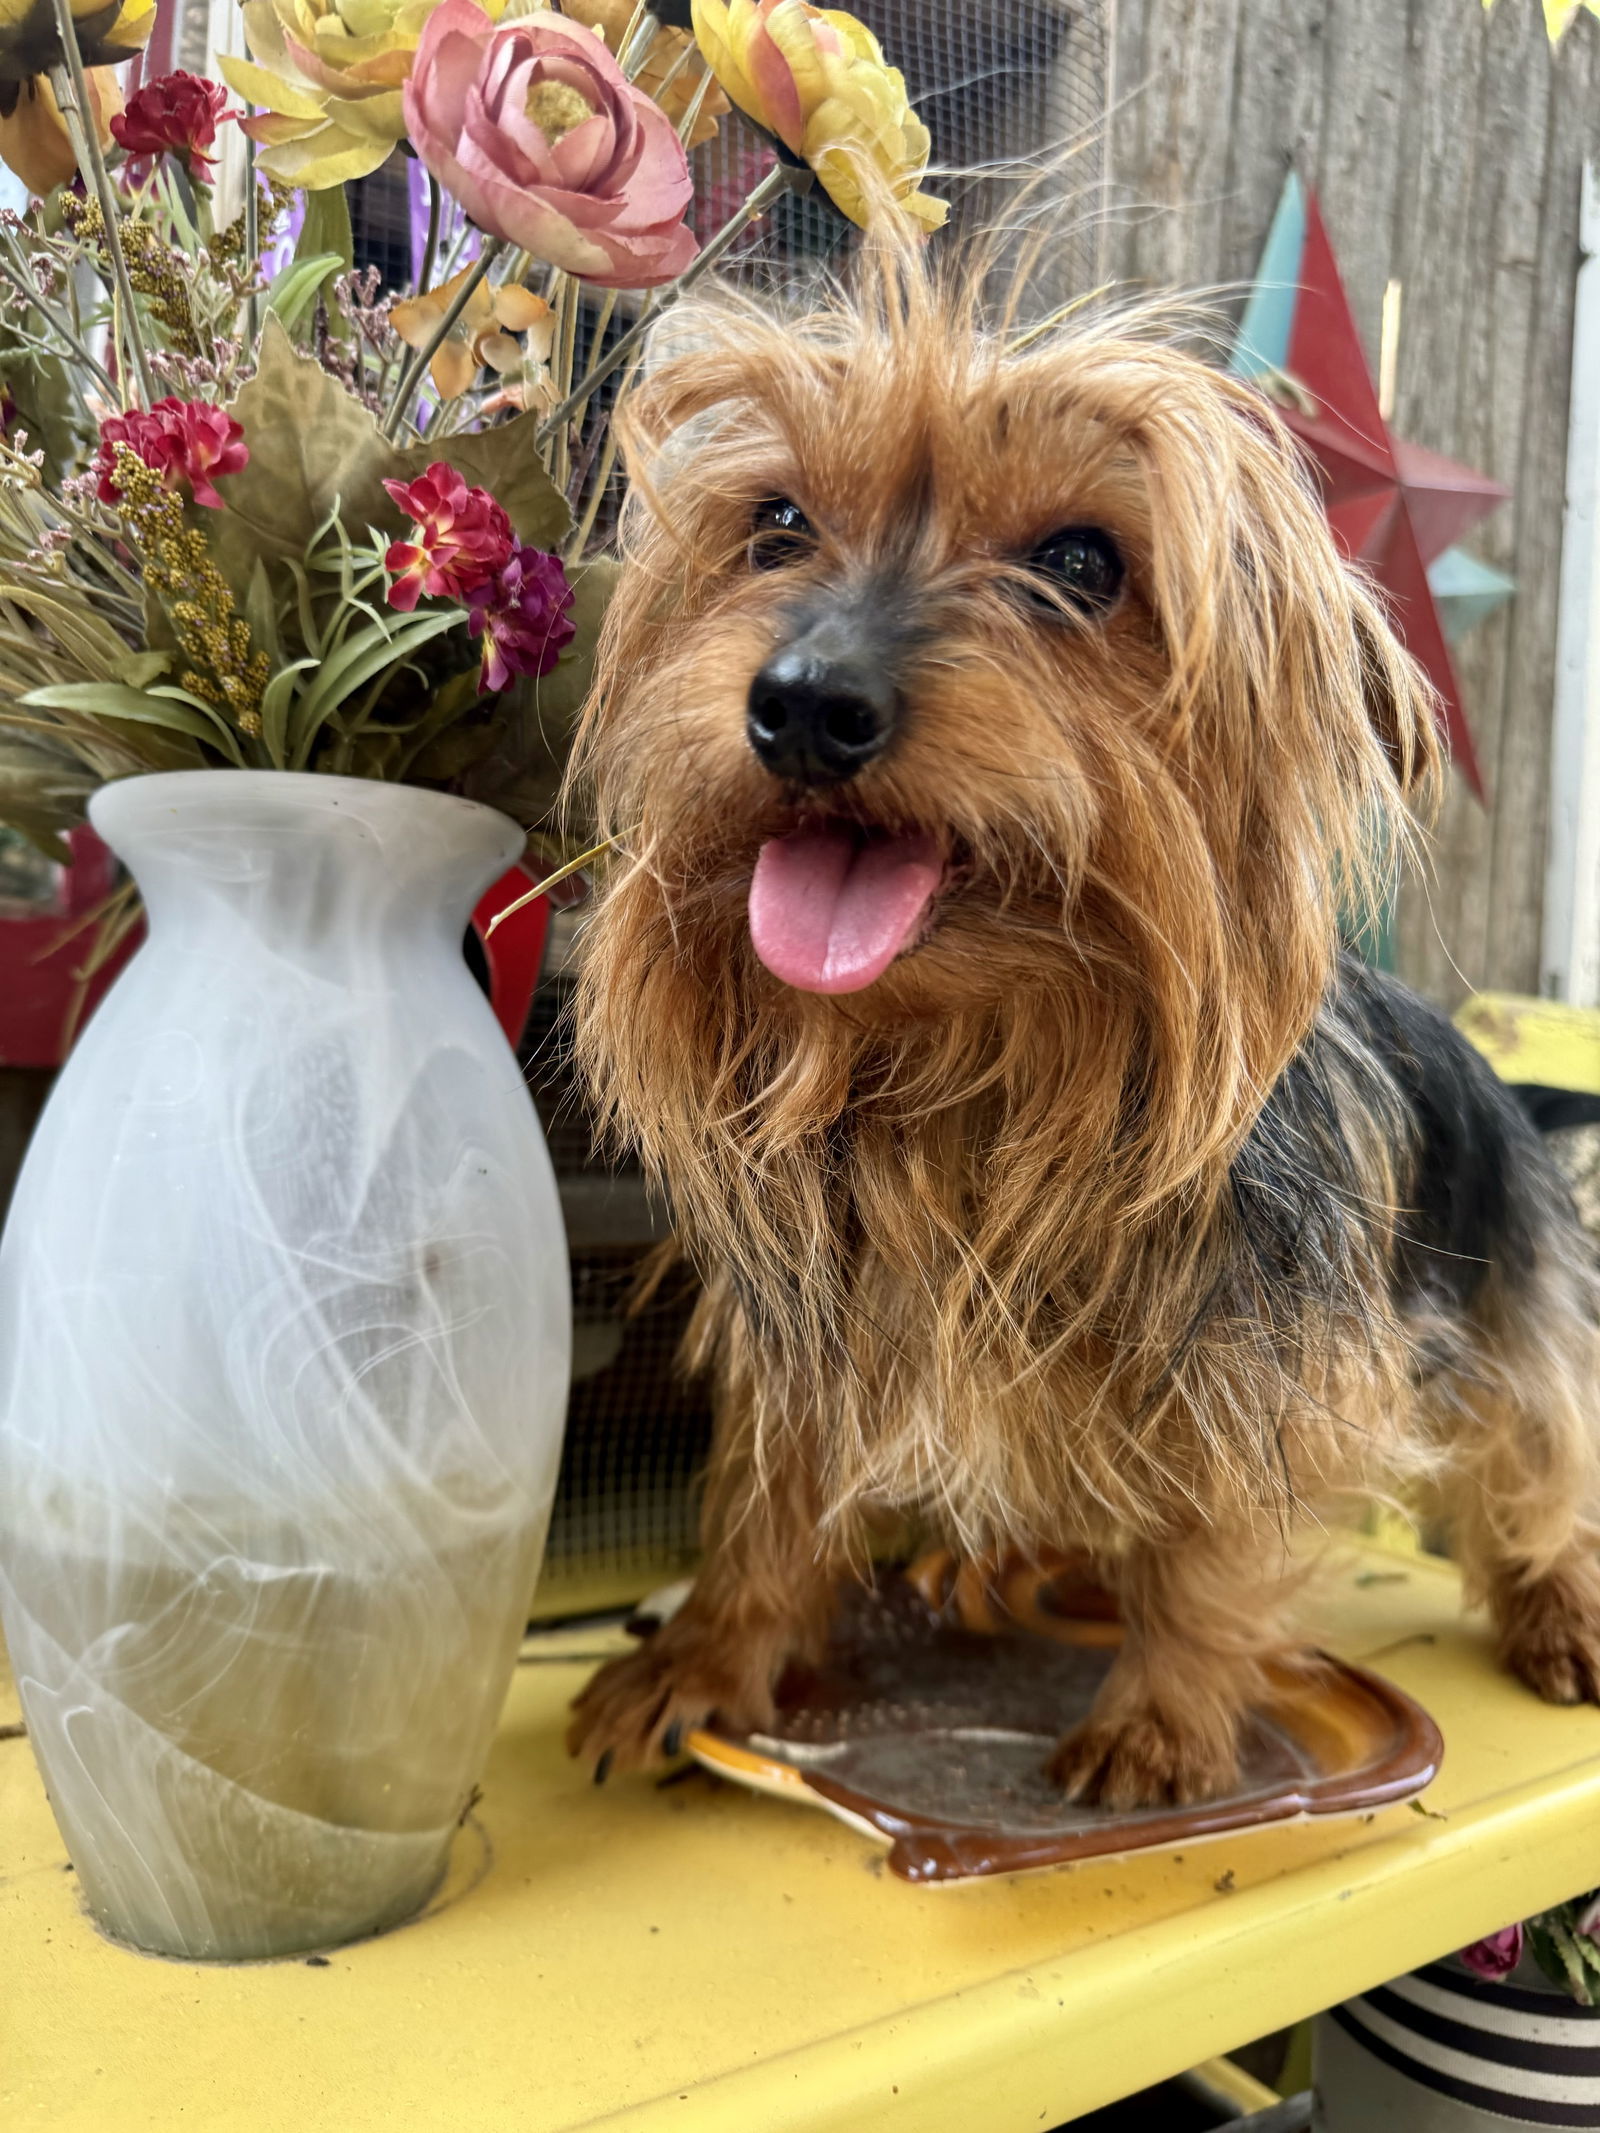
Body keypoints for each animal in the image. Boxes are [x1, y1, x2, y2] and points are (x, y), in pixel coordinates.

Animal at [558, 233, 1600, 1808]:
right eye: (776, 523)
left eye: (1082, 563)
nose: (803, 703)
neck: (970, 1074)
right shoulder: (821, 1327)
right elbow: (771, 1499)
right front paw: (705, 1655)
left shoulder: (1264, 1359)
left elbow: (1212, 1538)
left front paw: (1161, 1718)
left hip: (1509, 1293)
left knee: (1537, 1458)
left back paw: (1557, 1607)